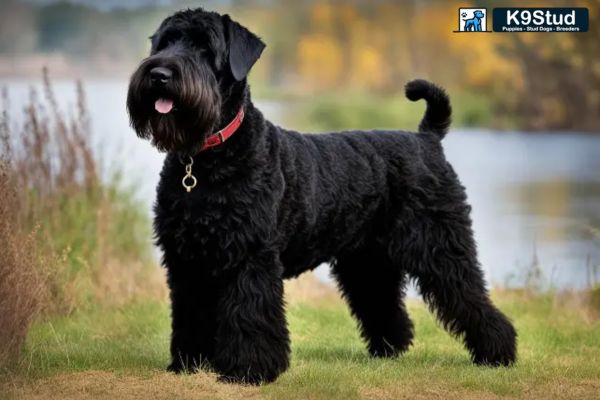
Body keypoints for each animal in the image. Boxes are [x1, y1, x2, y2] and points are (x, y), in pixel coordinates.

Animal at [125, 7, 516, 384]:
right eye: (164, 42)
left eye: (205, 47)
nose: (159, 73)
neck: (206, 159)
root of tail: (427, 138)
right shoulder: (188, 259)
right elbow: (191, 313)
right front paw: (189, 363)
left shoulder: (250, 257)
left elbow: (249, 314)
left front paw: (249, 371)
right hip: (368, 261)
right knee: (384, 303)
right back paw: (388, 349)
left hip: (441, 248)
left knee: (470, 297)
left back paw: (498, 353)